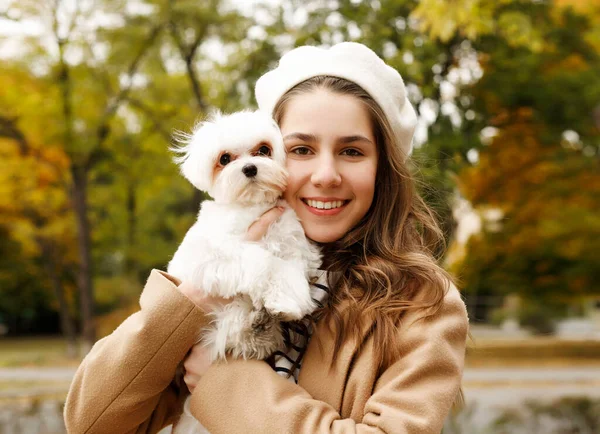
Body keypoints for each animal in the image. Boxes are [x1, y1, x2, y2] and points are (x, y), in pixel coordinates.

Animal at [166, 110, 322, 432]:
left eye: (264, 149)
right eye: (224, 159)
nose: (250, 168)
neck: (254, 209)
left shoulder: (295, 245)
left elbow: (289, 270)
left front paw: (288, 300)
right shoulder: (207, 258)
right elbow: (261, 260)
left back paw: (258, 328)